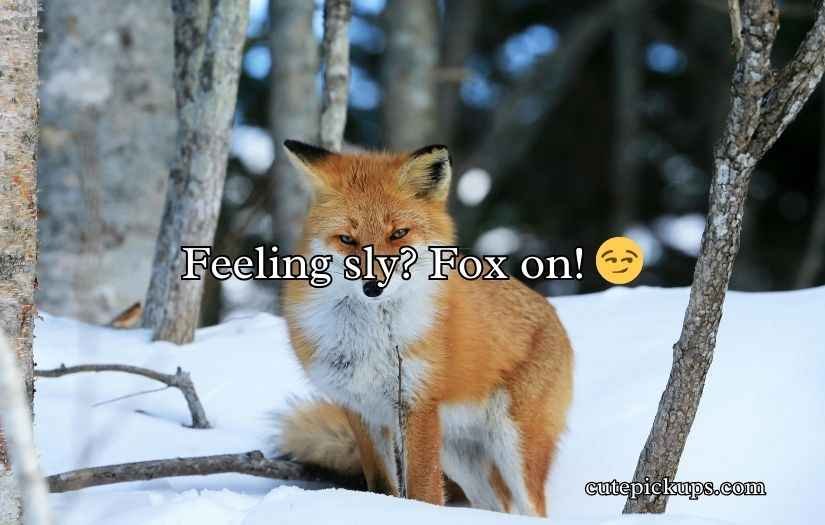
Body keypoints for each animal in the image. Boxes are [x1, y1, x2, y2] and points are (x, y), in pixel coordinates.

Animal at [275, 139, 573, 517]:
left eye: (398, 233)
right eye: (347, 239)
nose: (374, 286)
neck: (369, 340)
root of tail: (552, 310)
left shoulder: (417, 404)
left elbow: (425, 491)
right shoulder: (361, 409)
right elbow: (382, 485)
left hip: (513, 445)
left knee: (532, 507)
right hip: (459, 454)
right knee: (498, 506)